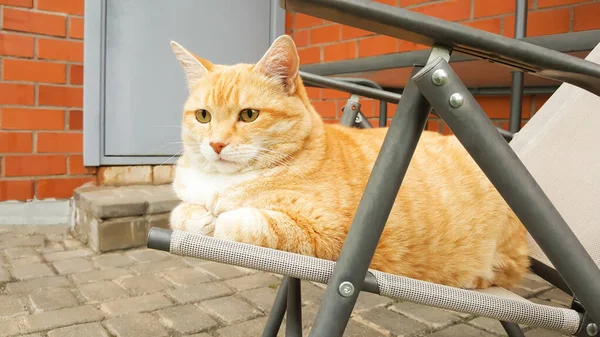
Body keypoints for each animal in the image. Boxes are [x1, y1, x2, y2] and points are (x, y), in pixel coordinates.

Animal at [169, 34, 528, 288]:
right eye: (203, 116)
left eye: (249, 115)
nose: (216, 144)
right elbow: (180, 213)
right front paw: (199, 216)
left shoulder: (328, 235)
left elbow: (246, 223)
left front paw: (219, 219)